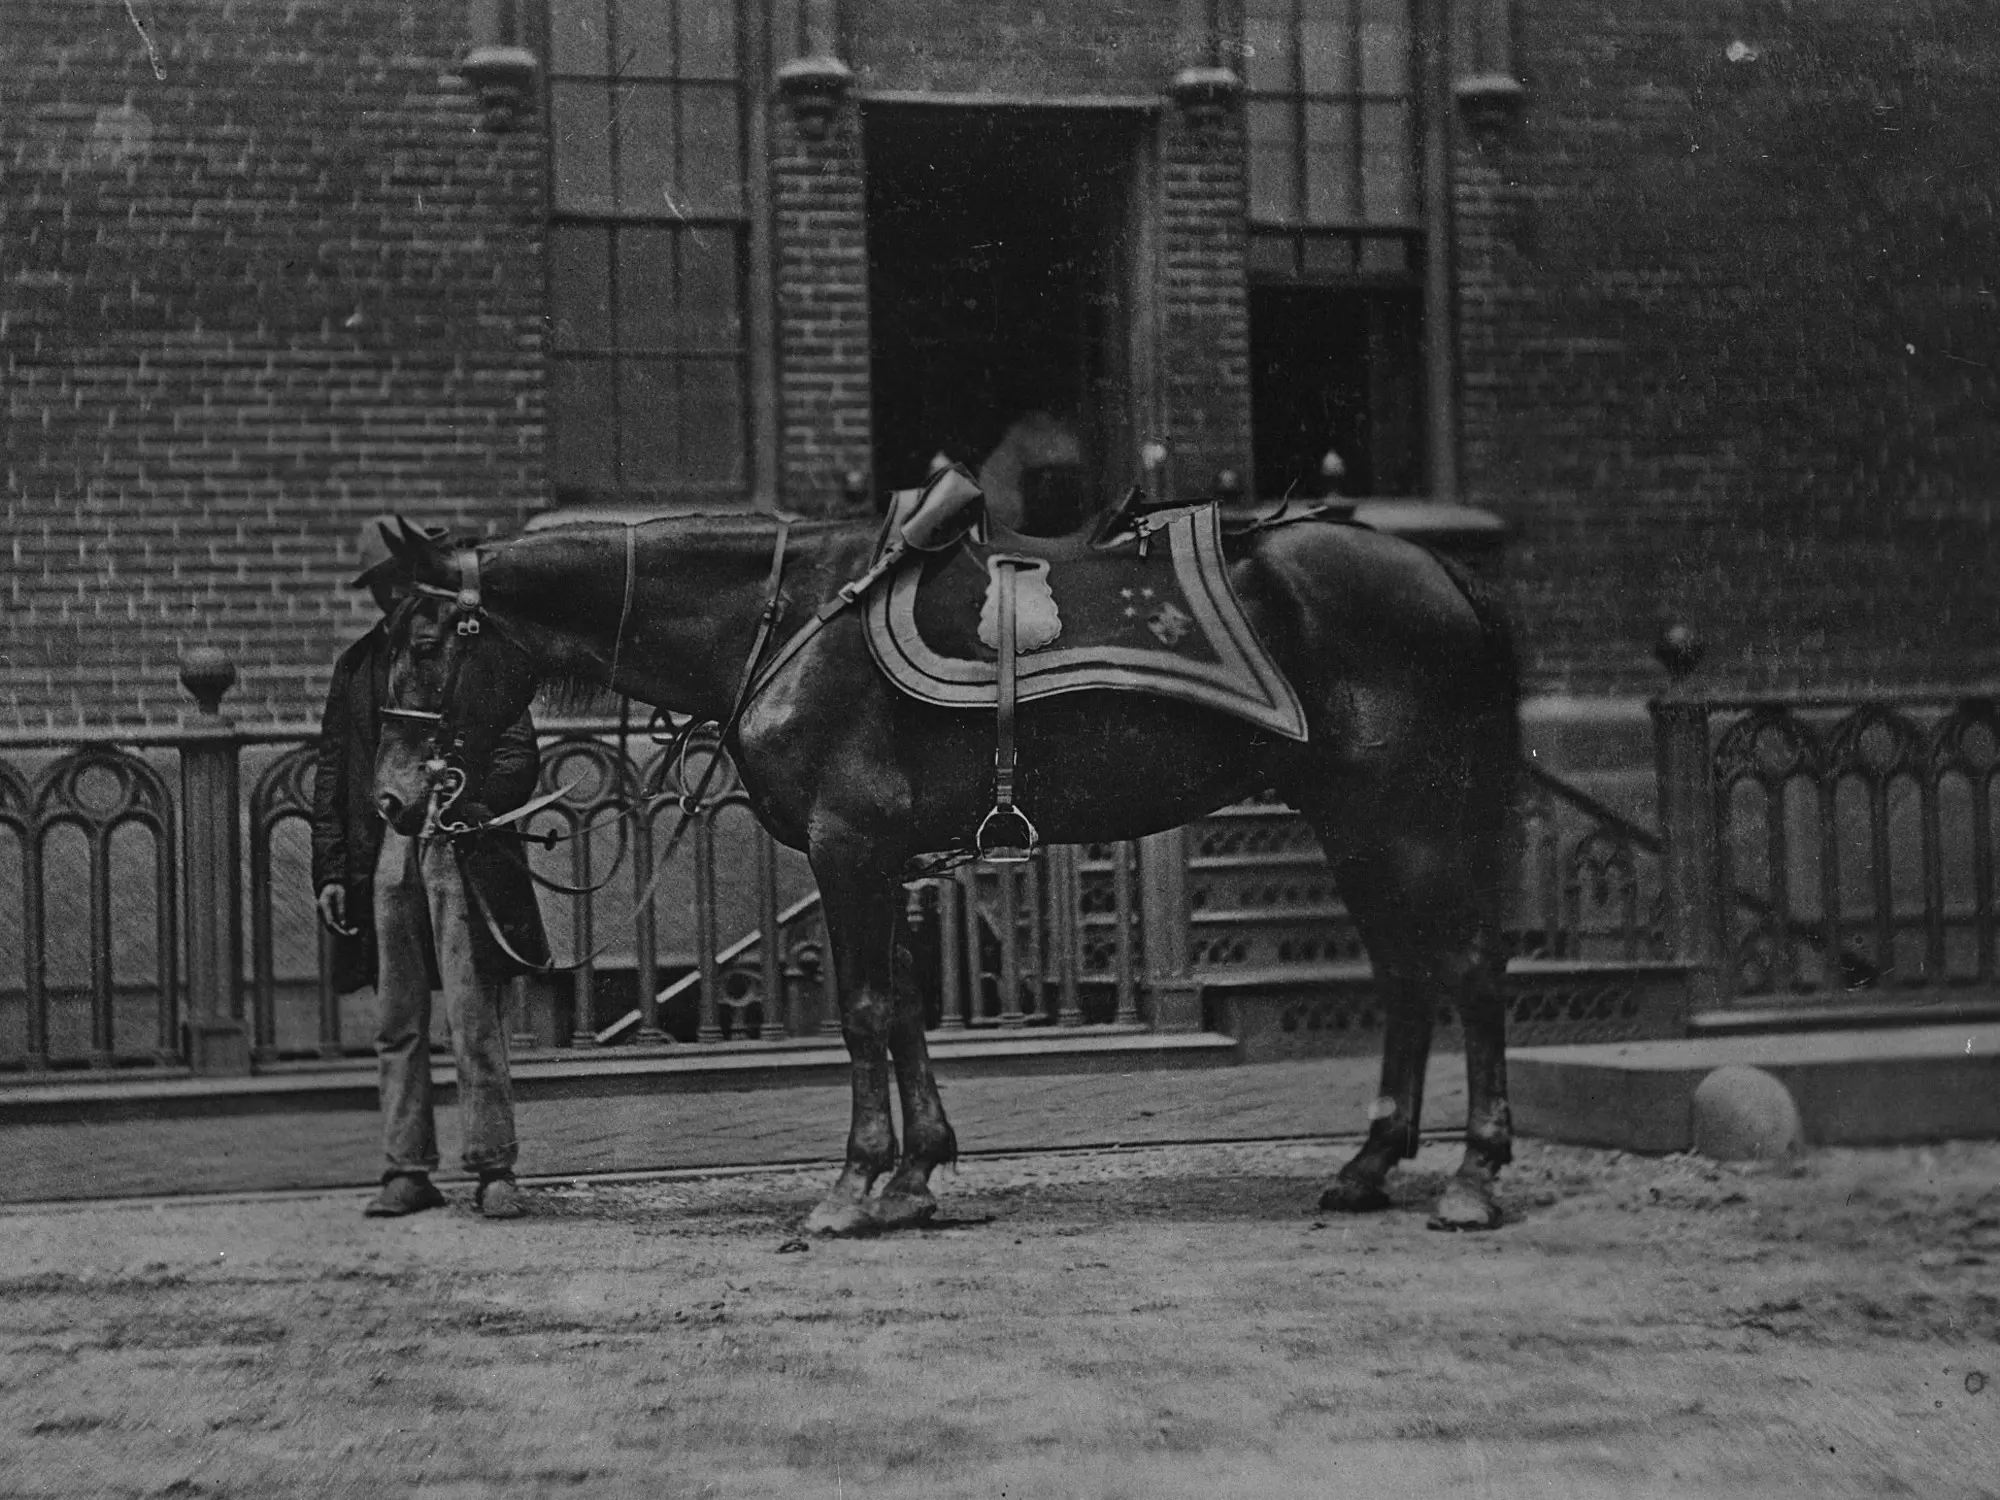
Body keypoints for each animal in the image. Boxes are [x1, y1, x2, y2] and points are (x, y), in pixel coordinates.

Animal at [368, 500, 1520, 1240]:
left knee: (1465, 968)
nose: (390, 798)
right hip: (1353, 820)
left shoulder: (847, 847)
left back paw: (1471, 1175)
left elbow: (863, 1012)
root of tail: (1442, 575)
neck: (788, 620)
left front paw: (851, 1186)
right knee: (1404, 973)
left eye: (424, 640)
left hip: (1408, 812)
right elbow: (908, 1012)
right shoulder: (885, 859)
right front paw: (915, 1176)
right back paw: (1369, 1165)